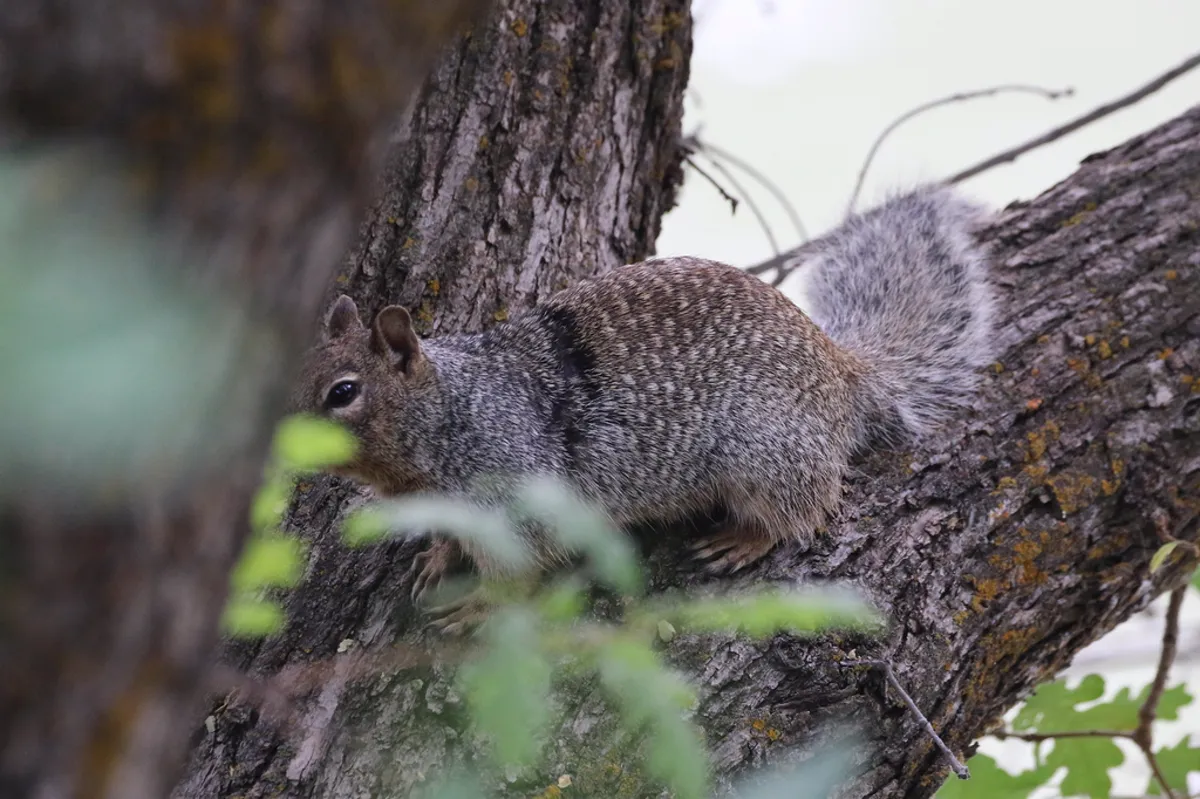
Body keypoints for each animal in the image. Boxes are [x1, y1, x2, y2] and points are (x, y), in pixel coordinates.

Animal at [294, 185, 994, 629]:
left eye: (344, 392)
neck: (449, 409)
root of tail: (841, 373)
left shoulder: (516, 492)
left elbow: (516, 571)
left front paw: (478, 607)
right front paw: (439, 557)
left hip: (766, 454)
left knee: (801, 509)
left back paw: (743, 539)